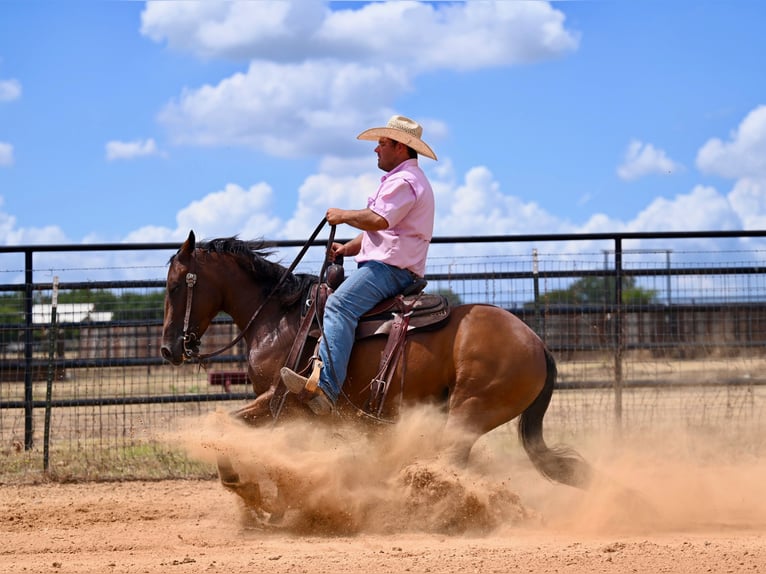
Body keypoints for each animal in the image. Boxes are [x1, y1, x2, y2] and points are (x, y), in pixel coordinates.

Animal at [160, 232, 592, 510]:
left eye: (176, 285)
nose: (168, 349)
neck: (279, 318)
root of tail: (536, 343)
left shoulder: (281, 399)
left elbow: (225, 427)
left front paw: (249, 490)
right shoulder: (284, 410)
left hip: (470, 410)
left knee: (451, 463)